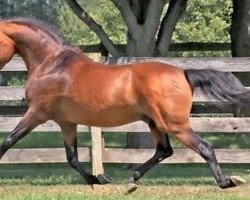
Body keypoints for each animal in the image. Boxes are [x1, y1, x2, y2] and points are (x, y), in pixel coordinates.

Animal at [0, 18, 247, 193]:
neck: (53, 64)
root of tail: (184, 73)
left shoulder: (37, 113)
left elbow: (7, 142)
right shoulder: (66, 123)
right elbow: (72, 158)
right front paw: (97, 179)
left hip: (173, 124)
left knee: (205, 147)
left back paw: (226, 182)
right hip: (155, 123)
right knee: (164, 150)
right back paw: (132, 180)